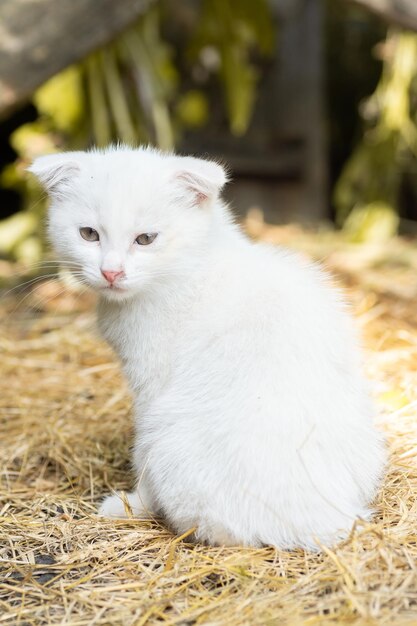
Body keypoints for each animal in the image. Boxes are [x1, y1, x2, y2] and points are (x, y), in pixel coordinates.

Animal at [30, 145, 386, 544]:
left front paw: (133, 503)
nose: (111, 272)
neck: (186, 269)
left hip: (168, 430)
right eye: (89, 234)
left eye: (146, 239)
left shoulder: (152, 386)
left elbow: (142, 453)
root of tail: (323, 519)